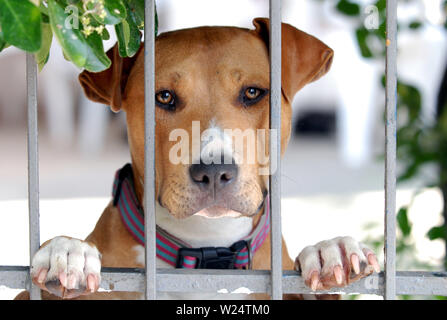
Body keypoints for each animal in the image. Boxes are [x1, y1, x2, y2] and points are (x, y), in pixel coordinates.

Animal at [18, 18, 382, 300]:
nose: (215, 170)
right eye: (164, 96)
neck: (208, 249)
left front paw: (330, 252)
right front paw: (68, 252)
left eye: (253, 92)